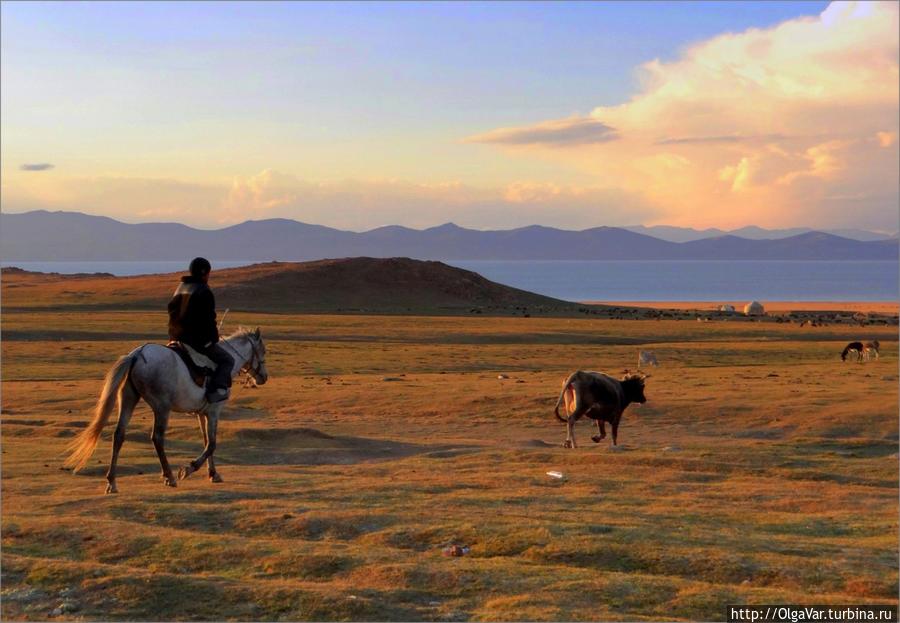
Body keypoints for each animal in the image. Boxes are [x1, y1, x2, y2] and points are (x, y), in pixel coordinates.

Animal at [66, 330, 268, 494]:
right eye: (264, 351)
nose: (264, 377)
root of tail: (137, 355)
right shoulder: (213, 412)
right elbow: (211, 444)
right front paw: (189, 469)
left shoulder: (201, 413)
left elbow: (206, 442)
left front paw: (213, 474)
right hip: (161, 407)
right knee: (157, 437)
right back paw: (169, 476)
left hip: (128, 399)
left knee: (119, 435)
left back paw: (112, 482)